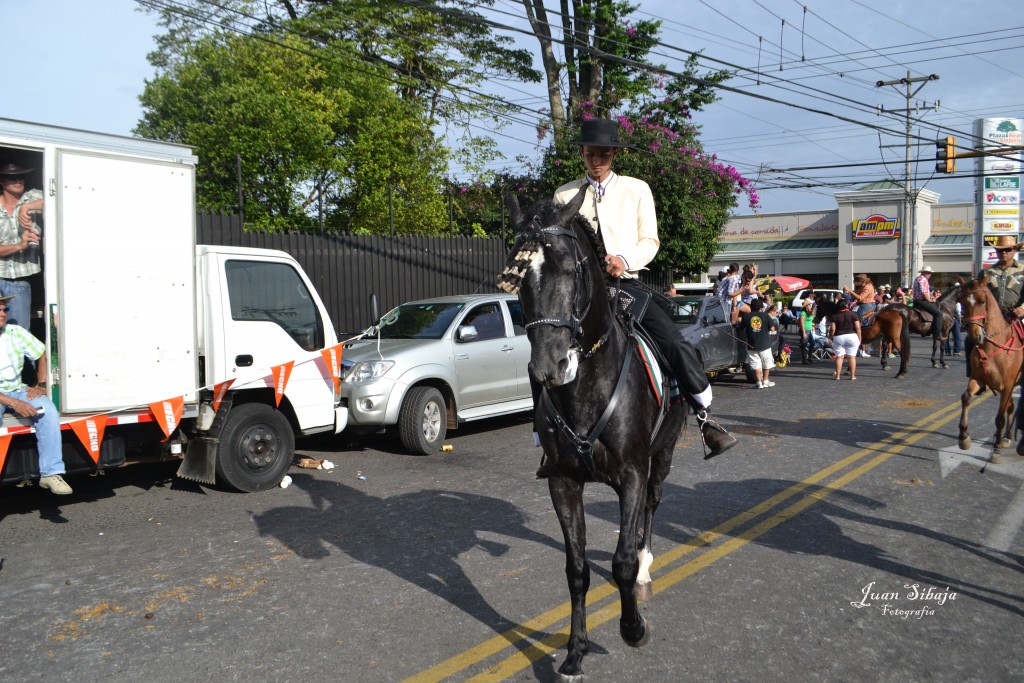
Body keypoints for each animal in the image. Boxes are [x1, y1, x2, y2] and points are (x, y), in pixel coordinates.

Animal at [497, 185, 688, 679]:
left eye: (569, 268)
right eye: (518, 279)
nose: (550, 367)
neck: (587, 389)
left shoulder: (633, 474)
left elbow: (621, 562)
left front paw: (633, 627)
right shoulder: (563, 482)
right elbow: (577, 570)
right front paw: (574, 652)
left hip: (663, 454)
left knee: (652, 508)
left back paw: (646, 570)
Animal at [958, 272, 1024, 464]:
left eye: (982, 301)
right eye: (962, 301)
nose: (975, 336)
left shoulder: (1007, 386)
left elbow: (999, 418)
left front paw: (995, 451)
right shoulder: (978, 379)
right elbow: (965, 398)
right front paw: (964, 437)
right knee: (1011, 407)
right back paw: (1007, 437)